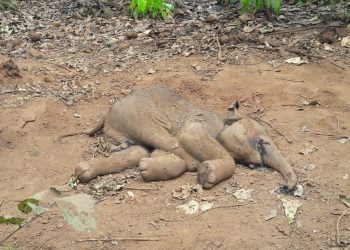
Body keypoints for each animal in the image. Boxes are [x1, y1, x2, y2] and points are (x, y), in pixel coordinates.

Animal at [58, 85, 298, 188]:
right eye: (261, 143)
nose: (285, 188)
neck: (223, 117)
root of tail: (107, 111)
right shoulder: (200, 126)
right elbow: (189, 138)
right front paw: (205, 174)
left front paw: (148, 168)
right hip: (139, 116)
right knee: (161, 138)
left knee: (135, 150)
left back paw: (84, 171)